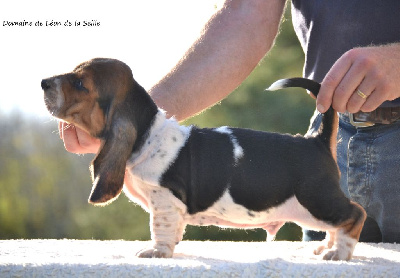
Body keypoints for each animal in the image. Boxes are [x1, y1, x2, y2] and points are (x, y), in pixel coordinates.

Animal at [41, 58, 366, 260]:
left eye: (81, 84)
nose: (44, 82)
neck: (147, 133)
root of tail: (316, 141)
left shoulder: (164, 201)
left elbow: (160, 229)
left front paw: (157, 252)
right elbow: (173, 230)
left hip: (316, 199)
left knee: (355, 214)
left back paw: (339, 253)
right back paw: (326, 247)